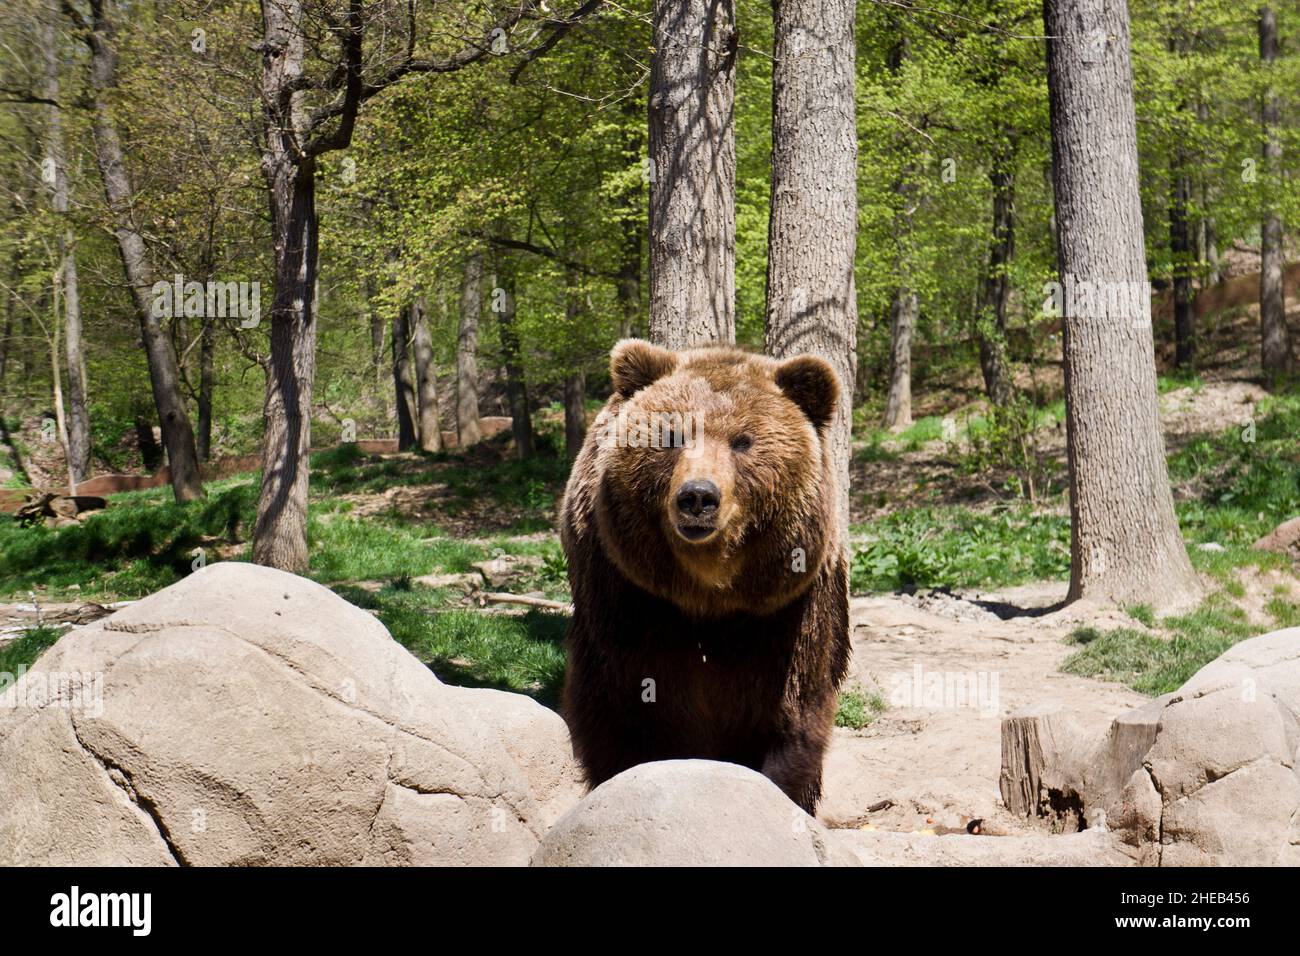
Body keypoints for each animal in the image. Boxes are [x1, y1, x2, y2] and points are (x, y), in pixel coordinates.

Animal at [559, 339, 851, 813]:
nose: (698, 496)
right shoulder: (624, 594)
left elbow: (793, 713)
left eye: (743, 441)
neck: (710, 594)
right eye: (672, 436)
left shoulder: (792, 609)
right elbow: (620, 708)